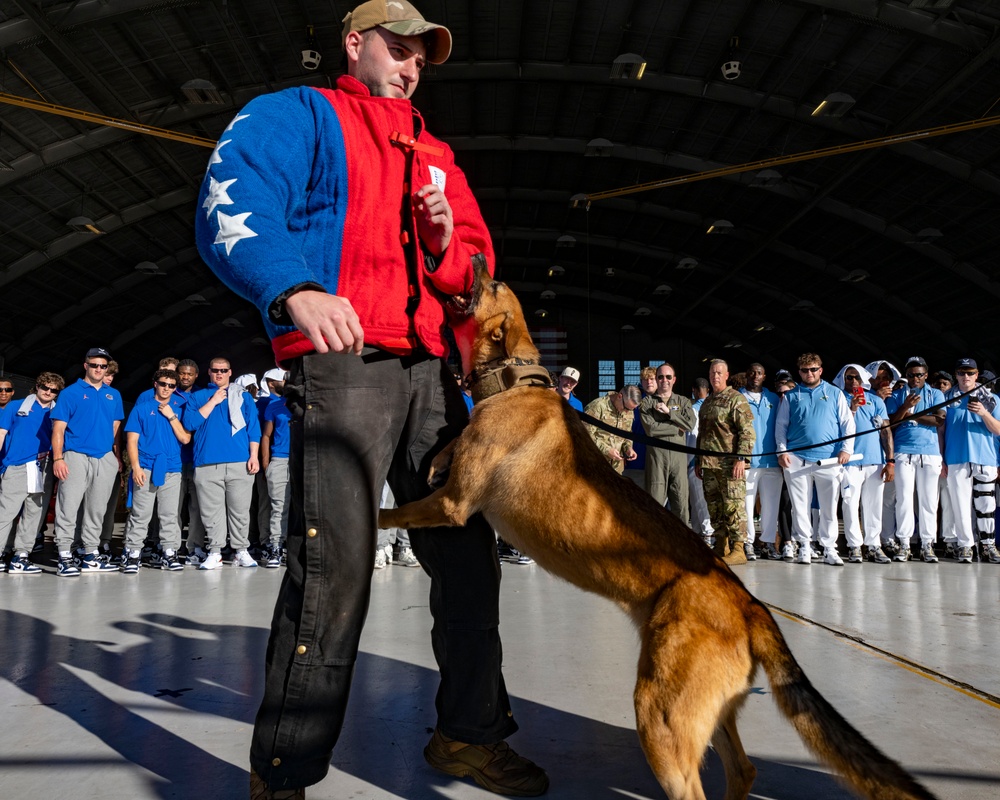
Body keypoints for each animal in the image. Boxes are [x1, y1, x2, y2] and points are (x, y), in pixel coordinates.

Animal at [378, 260, 940, 800]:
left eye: (491, 284)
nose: (473, 254)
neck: (515, 382)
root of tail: (754, 609)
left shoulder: (453, 503)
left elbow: (392, 513)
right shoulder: (453, 490)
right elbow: (444, 453)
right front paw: (438, 458)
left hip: (660, 718)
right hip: (706, 714)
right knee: (744, 771)